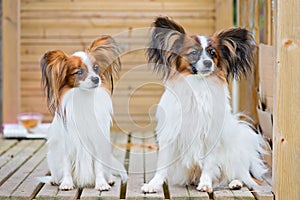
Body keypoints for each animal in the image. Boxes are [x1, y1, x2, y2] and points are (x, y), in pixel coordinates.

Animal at [40, 35, 127, 191]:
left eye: (96, 68)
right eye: (79, 72)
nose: (96, 79)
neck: (83, 97)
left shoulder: (97, 142)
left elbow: (98, 167)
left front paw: (101, 183)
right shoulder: (66, 143)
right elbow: (66, 165)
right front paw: (66, 183)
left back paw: (110, 179)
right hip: (53, 156)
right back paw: (55, 179)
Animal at [142, 17, 268, 194]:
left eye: (212, 53)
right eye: (193, 53)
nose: (208, 63)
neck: (198, 85)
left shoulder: (211, 136)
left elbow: (209, 164)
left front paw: (206, 184)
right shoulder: (171, 134)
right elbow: (162, 165)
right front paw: (153, 184)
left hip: (234, 155)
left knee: (244, 176)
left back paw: (235, 182)